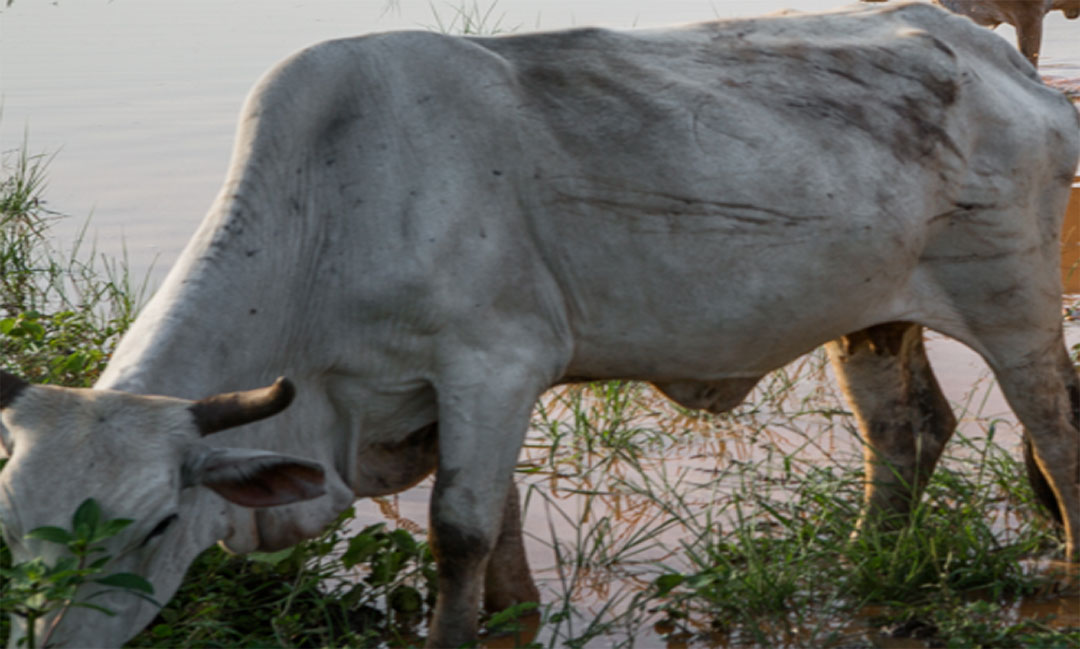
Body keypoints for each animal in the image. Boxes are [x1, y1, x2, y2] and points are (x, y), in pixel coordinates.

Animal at [2, 2, 1080, 643]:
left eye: (156, 522)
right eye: (13, 530)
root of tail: (992, 54)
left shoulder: (492, 364)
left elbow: (461, 530)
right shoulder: (447, 396)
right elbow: (502, 526)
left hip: (1015, 302)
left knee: (1058, 437)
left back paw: (1064, 567)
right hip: (875, 318)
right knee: (906, 432)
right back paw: (858, 561)